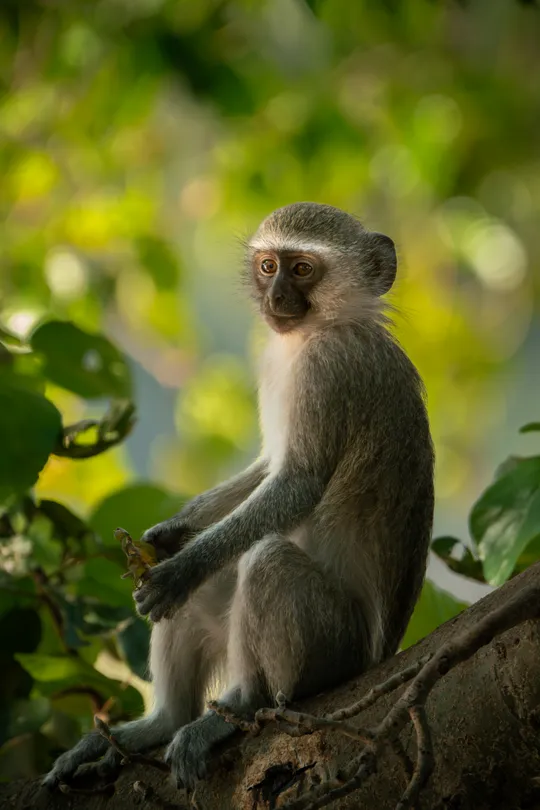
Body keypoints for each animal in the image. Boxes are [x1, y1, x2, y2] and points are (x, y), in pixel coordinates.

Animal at [43, 202, 434, 792]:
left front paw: (184, 564)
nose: (276, 299)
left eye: (302, 270)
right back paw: (160, 723)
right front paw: (171, 534)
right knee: (201, 599)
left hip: (338, 647)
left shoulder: (328, 371)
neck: (325, 326)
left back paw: (245, 706)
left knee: (266, 560)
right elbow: (268, 468)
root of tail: (378, 659)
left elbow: (297, 483)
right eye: (269, 265)